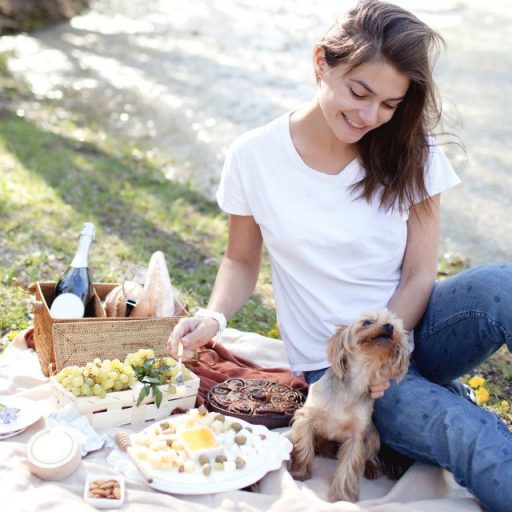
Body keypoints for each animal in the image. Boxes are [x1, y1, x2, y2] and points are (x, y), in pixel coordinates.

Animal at [290, 310, 410, 502]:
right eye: (367, 322)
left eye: (396, 325)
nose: (389, 326)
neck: (353, 385)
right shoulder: (306, 418)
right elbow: (304, 447)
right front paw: (300, 473)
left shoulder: (357, 435)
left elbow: (348, 467)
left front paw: (342, 497)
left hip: (373, 434)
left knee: (370, 455)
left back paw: (371, 468)